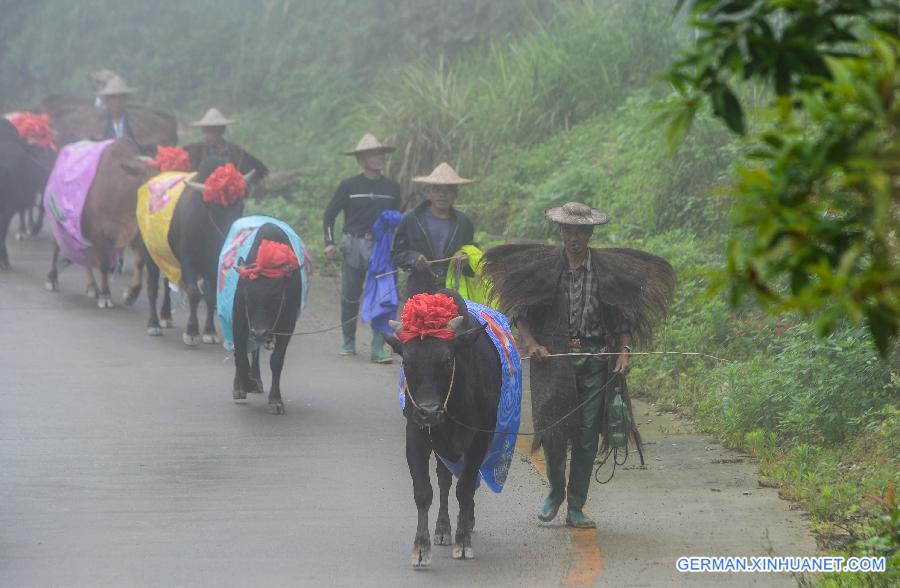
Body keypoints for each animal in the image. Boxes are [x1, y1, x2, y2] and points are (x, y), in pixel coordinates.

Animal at [223, 218, 308, 416]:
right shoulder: (239, 320)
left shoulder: (287, 325)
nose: (260, 332)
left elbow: (276, 361)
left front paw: (275, 400)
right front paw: (246, 384)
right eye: (247, 296)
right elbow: (240, 357)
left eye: (276, 298)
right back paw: (242, 385)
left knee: (255, 351)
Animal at [384, 292, 502, 568]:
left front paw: (463, 541)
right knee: (444, 480)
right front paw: (421, 547)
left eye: (448, 359)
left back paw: (465, 523)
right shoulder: (416, 434)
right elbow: (424, 492)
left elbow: (466, 488)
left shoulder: (479, 438)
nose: (429, 411)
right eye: (407, 361)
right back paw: (442, 528)